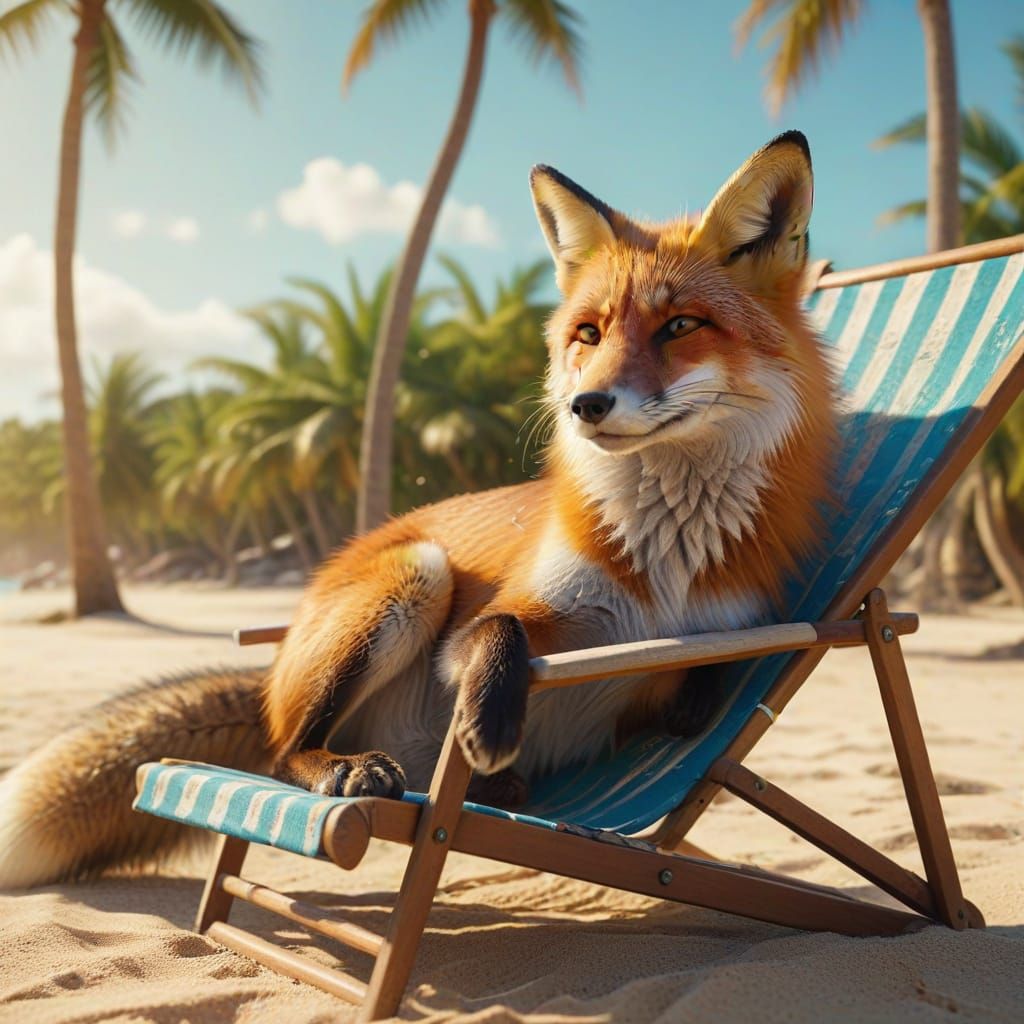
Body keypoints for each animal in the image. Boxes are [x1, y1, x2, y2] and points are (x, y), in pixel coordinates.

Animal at [0, 130, 836, 889]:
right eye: (589, 334)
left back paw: (492, 784)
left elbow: (706, 684)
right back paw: (352, 768)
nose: (585, 405)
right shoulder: (485, 630)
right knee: (282, 752)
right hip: (415, 576)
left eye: (680, 326)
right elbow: (498, 632)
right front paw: (490, 721)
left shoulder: (725, 638)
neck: (665, 559)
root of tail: (272, 674)